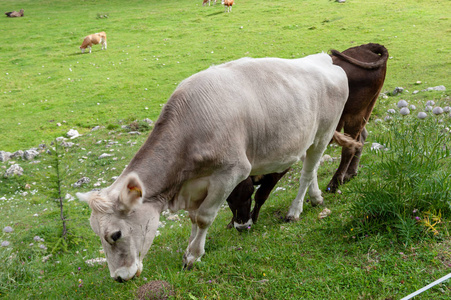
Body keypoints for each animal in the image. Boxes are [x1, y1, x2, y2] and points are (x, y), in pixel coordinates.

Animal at [77, 53, 350, 282]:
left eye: (115, 235)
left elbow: (203, 217)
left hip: (324, 133)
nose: (119, 277)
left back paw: (295, 211)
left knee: (306, 174)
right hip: (305, 139)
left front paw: (193, 255)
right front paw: (188, 248)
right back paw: (316, 198)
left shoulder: (232, 172)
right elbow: (192, 217)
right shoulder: (195, 185)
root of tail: (323, 58)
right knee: (311, 169)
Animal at [326, 42, 390, 192]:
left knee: (350, 147)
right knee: (361, 138)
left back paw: (335, 182)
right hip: (365, 111)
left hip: (354, 114)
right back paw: (349, 174)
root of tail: (366, 47)